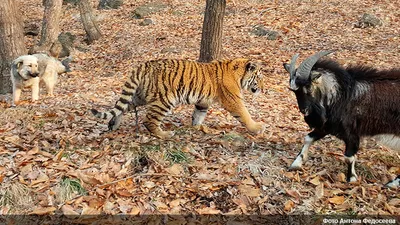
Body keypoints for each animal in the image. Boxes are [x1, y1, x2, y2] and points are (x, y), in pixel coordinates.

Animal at [282, 51, 398, 188]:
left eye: (309, 87)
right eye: (294, 91)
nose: (304, 110)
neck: (342, 95)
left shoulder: (351, 133)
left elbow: (349, 157)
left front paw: (352, 178)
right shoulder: (327, 126)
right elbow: (308, 138)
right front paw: (296, 164)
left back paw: (392, 184)